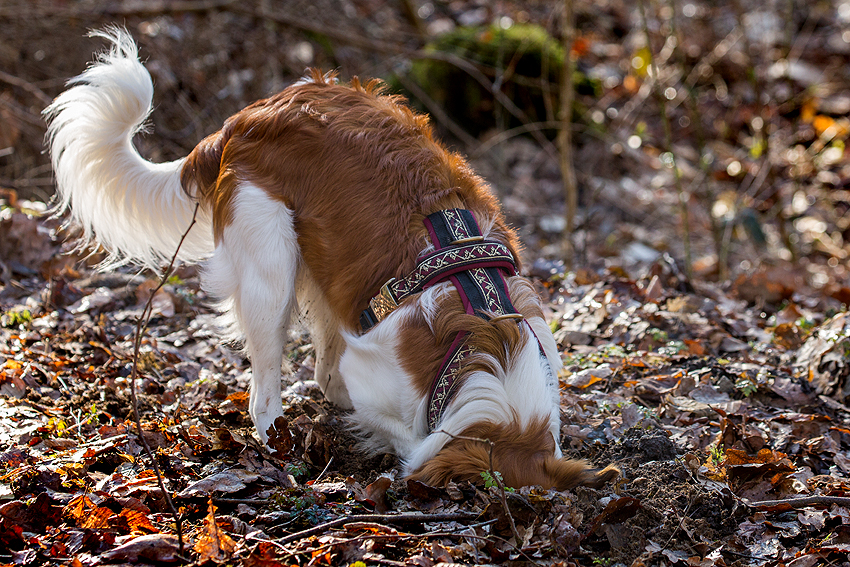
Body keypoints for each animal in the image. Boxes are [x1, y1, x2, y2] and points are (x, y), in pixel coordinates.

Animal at [46, 26, 616, 490]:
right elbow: (403, 433)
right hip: (271, 267)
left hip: (322, 267)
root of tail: (250, 115)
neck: (488, 347)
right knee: (266, 384)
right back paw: (276, 437)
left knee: (320, 362)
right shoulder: (376, 374)